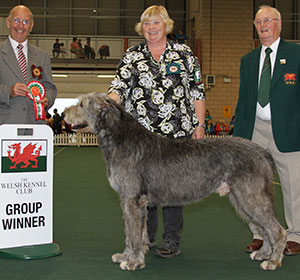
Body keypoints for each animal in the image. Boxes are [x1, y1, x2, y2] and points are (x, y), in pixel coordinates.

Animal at [65, 92, 286, 272]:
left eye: (82, 104)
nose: (65, 113)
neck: (122, 139)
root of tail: (262, 152)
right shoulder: (129, 201)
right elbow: (132, 232)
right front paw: (126, 255)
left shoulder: (133, 199)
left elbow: (134, 234)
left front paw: (133, 262)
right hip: (241, 199)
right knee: (264, 228)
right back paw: (264, 253)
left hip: (251, 196)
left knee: (276, 229)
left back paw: (273, 261)